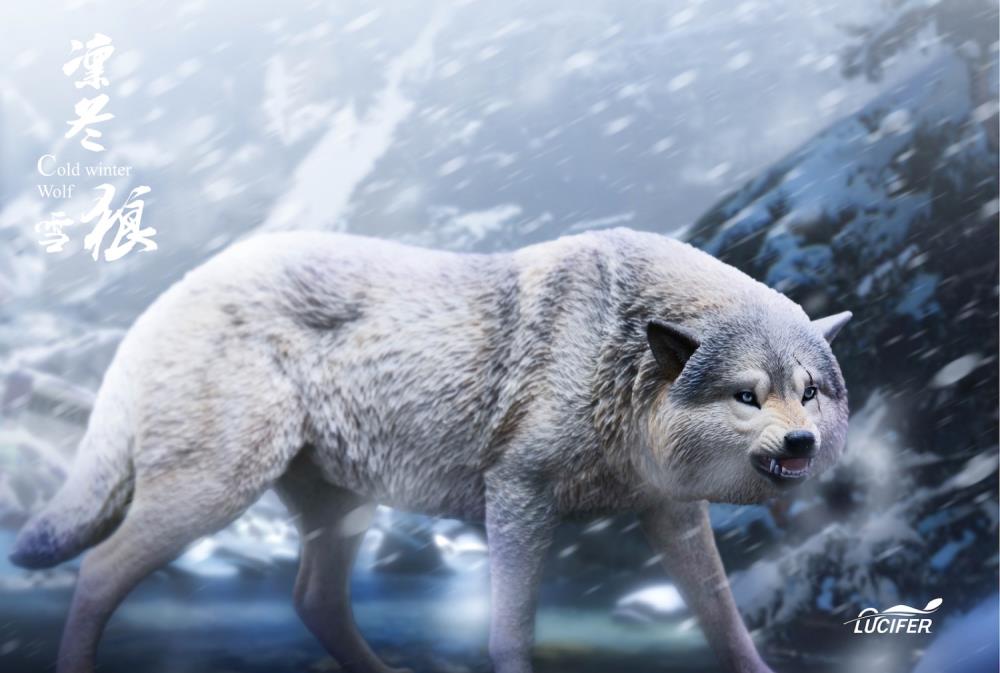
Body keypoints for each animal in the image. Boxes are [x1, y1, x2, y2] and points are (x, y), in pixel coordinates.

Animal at [10, 228, 851, 673]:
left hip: (339, 511)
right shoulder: (517, 496)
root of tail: (170, 295)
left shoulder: (672, 514)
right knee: (98, 569)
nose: (801, 441)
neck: (619, 358)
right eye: (747, 395)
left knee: (313, 599)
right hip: (211, 493)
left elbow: (724, 621)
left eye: (810, 390)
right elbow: (509, 630)